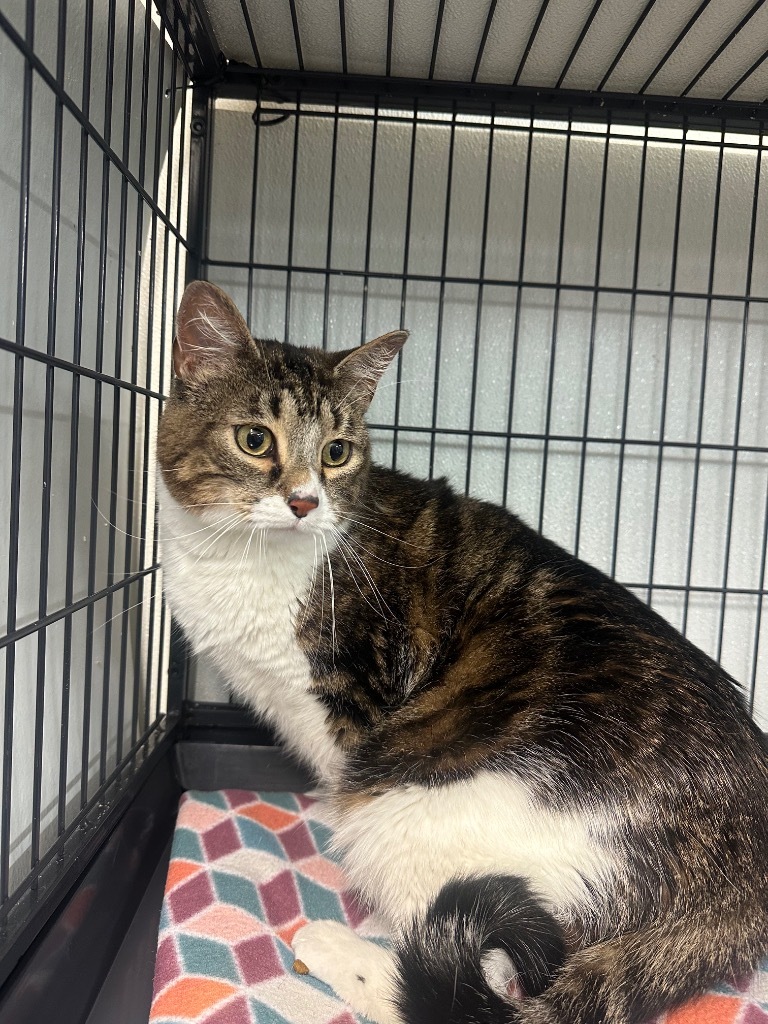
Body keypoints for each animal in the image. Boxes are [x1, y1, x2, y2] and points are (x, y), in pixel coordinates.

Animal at [154, 276, 768, 1019]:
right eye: (254, 439)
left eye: (336, 452)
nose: (304, 501)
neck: (239, 559)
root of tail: (741, 883)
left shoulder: (352, 714)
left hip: (416, 812)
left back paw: (344, 948)